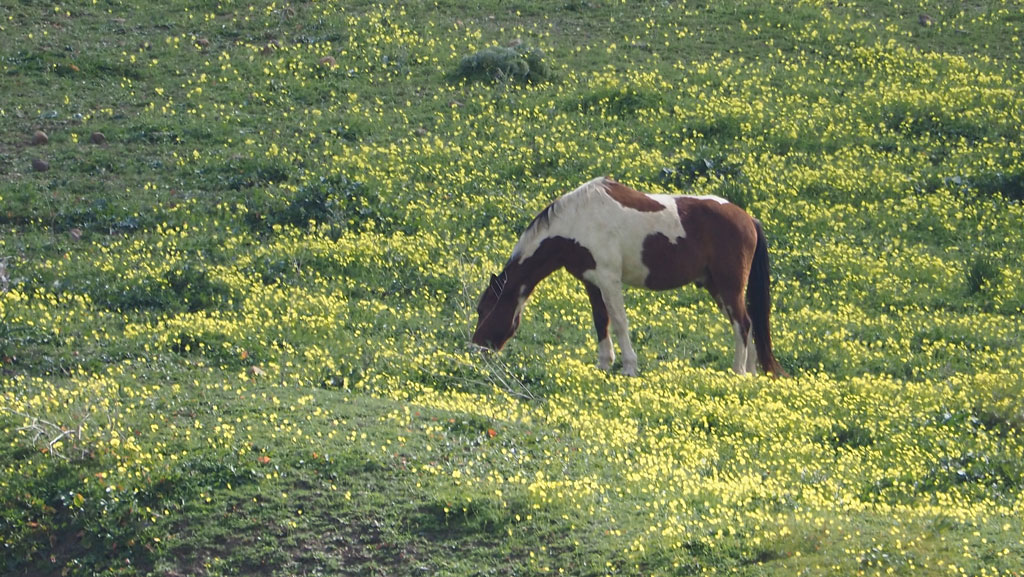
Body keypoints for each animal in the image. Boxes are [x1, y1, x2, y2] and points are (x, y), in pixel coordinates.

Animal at [471, 176, 782, 379]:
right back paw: (751, 373)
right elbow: (601, 322)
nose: (475, 348)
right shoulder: (591, 282)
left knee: (742, 323)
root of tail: (748, 219)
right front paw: (603, 364)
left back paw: (738, 373)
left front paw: (629, 367)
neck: (577, 221)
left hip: (729, 285)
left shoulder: (609, 280)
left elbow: (619, 322)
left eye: (483, 310)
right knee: (747, 324)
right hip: (716, 287)